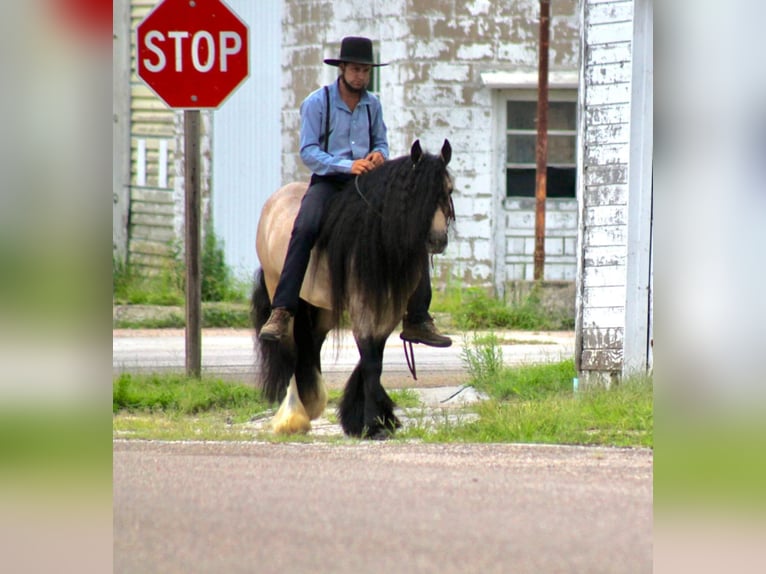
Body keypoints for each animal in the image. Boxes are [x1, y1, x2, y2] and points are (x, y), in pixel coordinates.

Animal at [252, 141, 456, 440]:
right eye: (413, 193)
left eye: (449, 189)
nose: (437, 240)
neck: (376, 238)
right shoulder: (363, 306)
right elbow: (370, 361)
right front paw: (373, 424)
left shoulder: (389, 309)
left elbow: (375, 359)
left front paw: (373, 418)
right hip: (277, 286)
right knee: (289, 346)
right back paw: (293, 417)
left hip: (320, 307)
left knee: (311, 344)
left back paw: (311, 402)